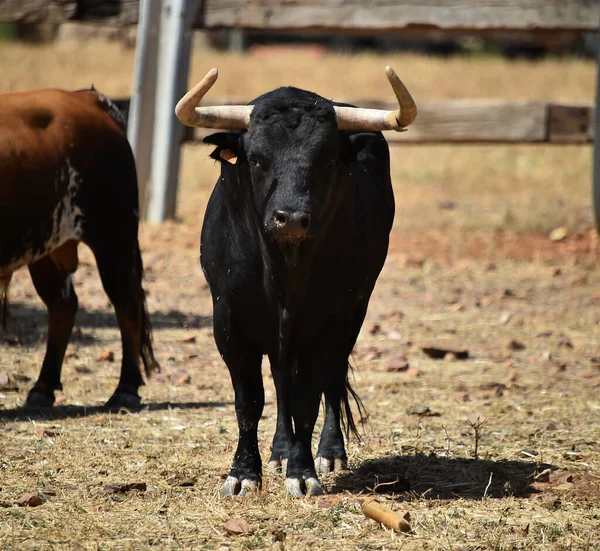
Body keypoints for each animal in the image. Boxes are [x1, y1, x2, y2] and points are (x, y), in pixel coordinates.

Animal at [0, 87, 158, 410]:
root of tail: (85, 98)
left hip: (113, 238)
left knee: (127, 304)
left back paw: (125, 388)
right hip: (46, 246)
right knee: (63, 305)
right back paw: (43, 387)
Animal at [199, 87, 398, 496]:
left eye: (328, 160)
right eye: (256, 158)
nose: (290, 218)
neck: (283, 273)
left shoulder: (330, 322)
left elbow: (308, 397)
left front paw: (303, 472)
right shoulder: (228, 322)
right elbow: (249, 401)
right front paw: (244, 474)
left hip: (354, 313)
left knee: (332, 378)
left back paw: (328, 452)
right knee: (280, 380)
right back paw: (280, 451)